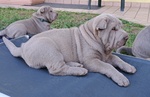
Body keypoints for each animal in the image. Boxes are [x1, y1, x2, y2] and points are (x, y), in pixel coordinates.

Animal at [2, 13, 136, 86]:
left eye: (121, 27)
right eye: (113, 29)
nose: (126, 37)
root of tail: (23, 47)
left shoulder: (107, 56)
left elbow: (117, 59)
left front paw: (129, 67)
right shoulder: (92, 61)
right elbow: (108, 67)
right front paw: (121, 78)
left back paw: (77, 65)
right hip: (49, 48)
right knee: (57, 69)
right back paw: (80, 70)